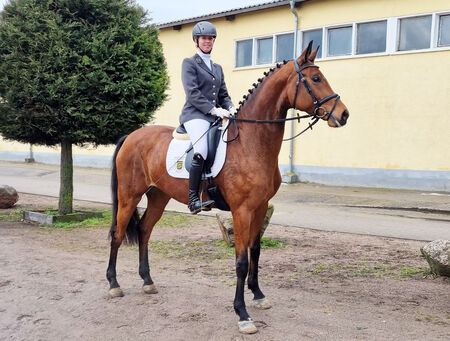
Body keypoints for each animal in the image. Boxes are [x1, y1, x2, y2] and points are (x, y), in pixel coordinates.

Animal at [107, 41, 350, 332]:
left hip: (158, 197)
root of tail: (131, 135)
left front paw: (258, 295)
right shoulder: (241, 210)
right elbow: (241, 261)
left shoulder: (260, 207)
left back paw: (147, 281)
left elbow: (255, 251)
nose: (344, 114)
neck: (251, 143)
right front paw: (242, 314)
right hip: (129, 195)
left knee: (144, 230)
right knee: (118, 234)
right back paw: (114, 285)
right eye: (315, 79)